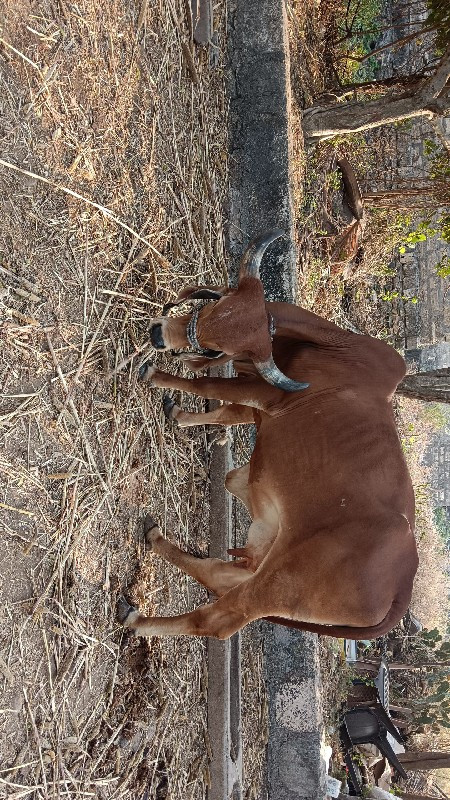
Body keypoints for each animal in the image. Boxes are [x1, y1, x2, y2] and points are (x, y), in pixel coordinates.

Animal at [117, 230, 418, 636]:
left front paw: (156, 376)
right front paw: (179, 414)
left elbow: (210, 387)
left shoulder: (266, 395)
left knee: (218, 618)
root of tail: (402, 587)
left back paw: (141, 620)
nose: (158, 334)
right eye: (215, 304)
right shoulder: (260, 406)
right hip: (263, 543)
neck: (333, 350)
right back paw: (157, 541)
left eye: (216, 348)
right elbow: (227, 412)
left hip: (280, 583)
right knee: (221, 571)